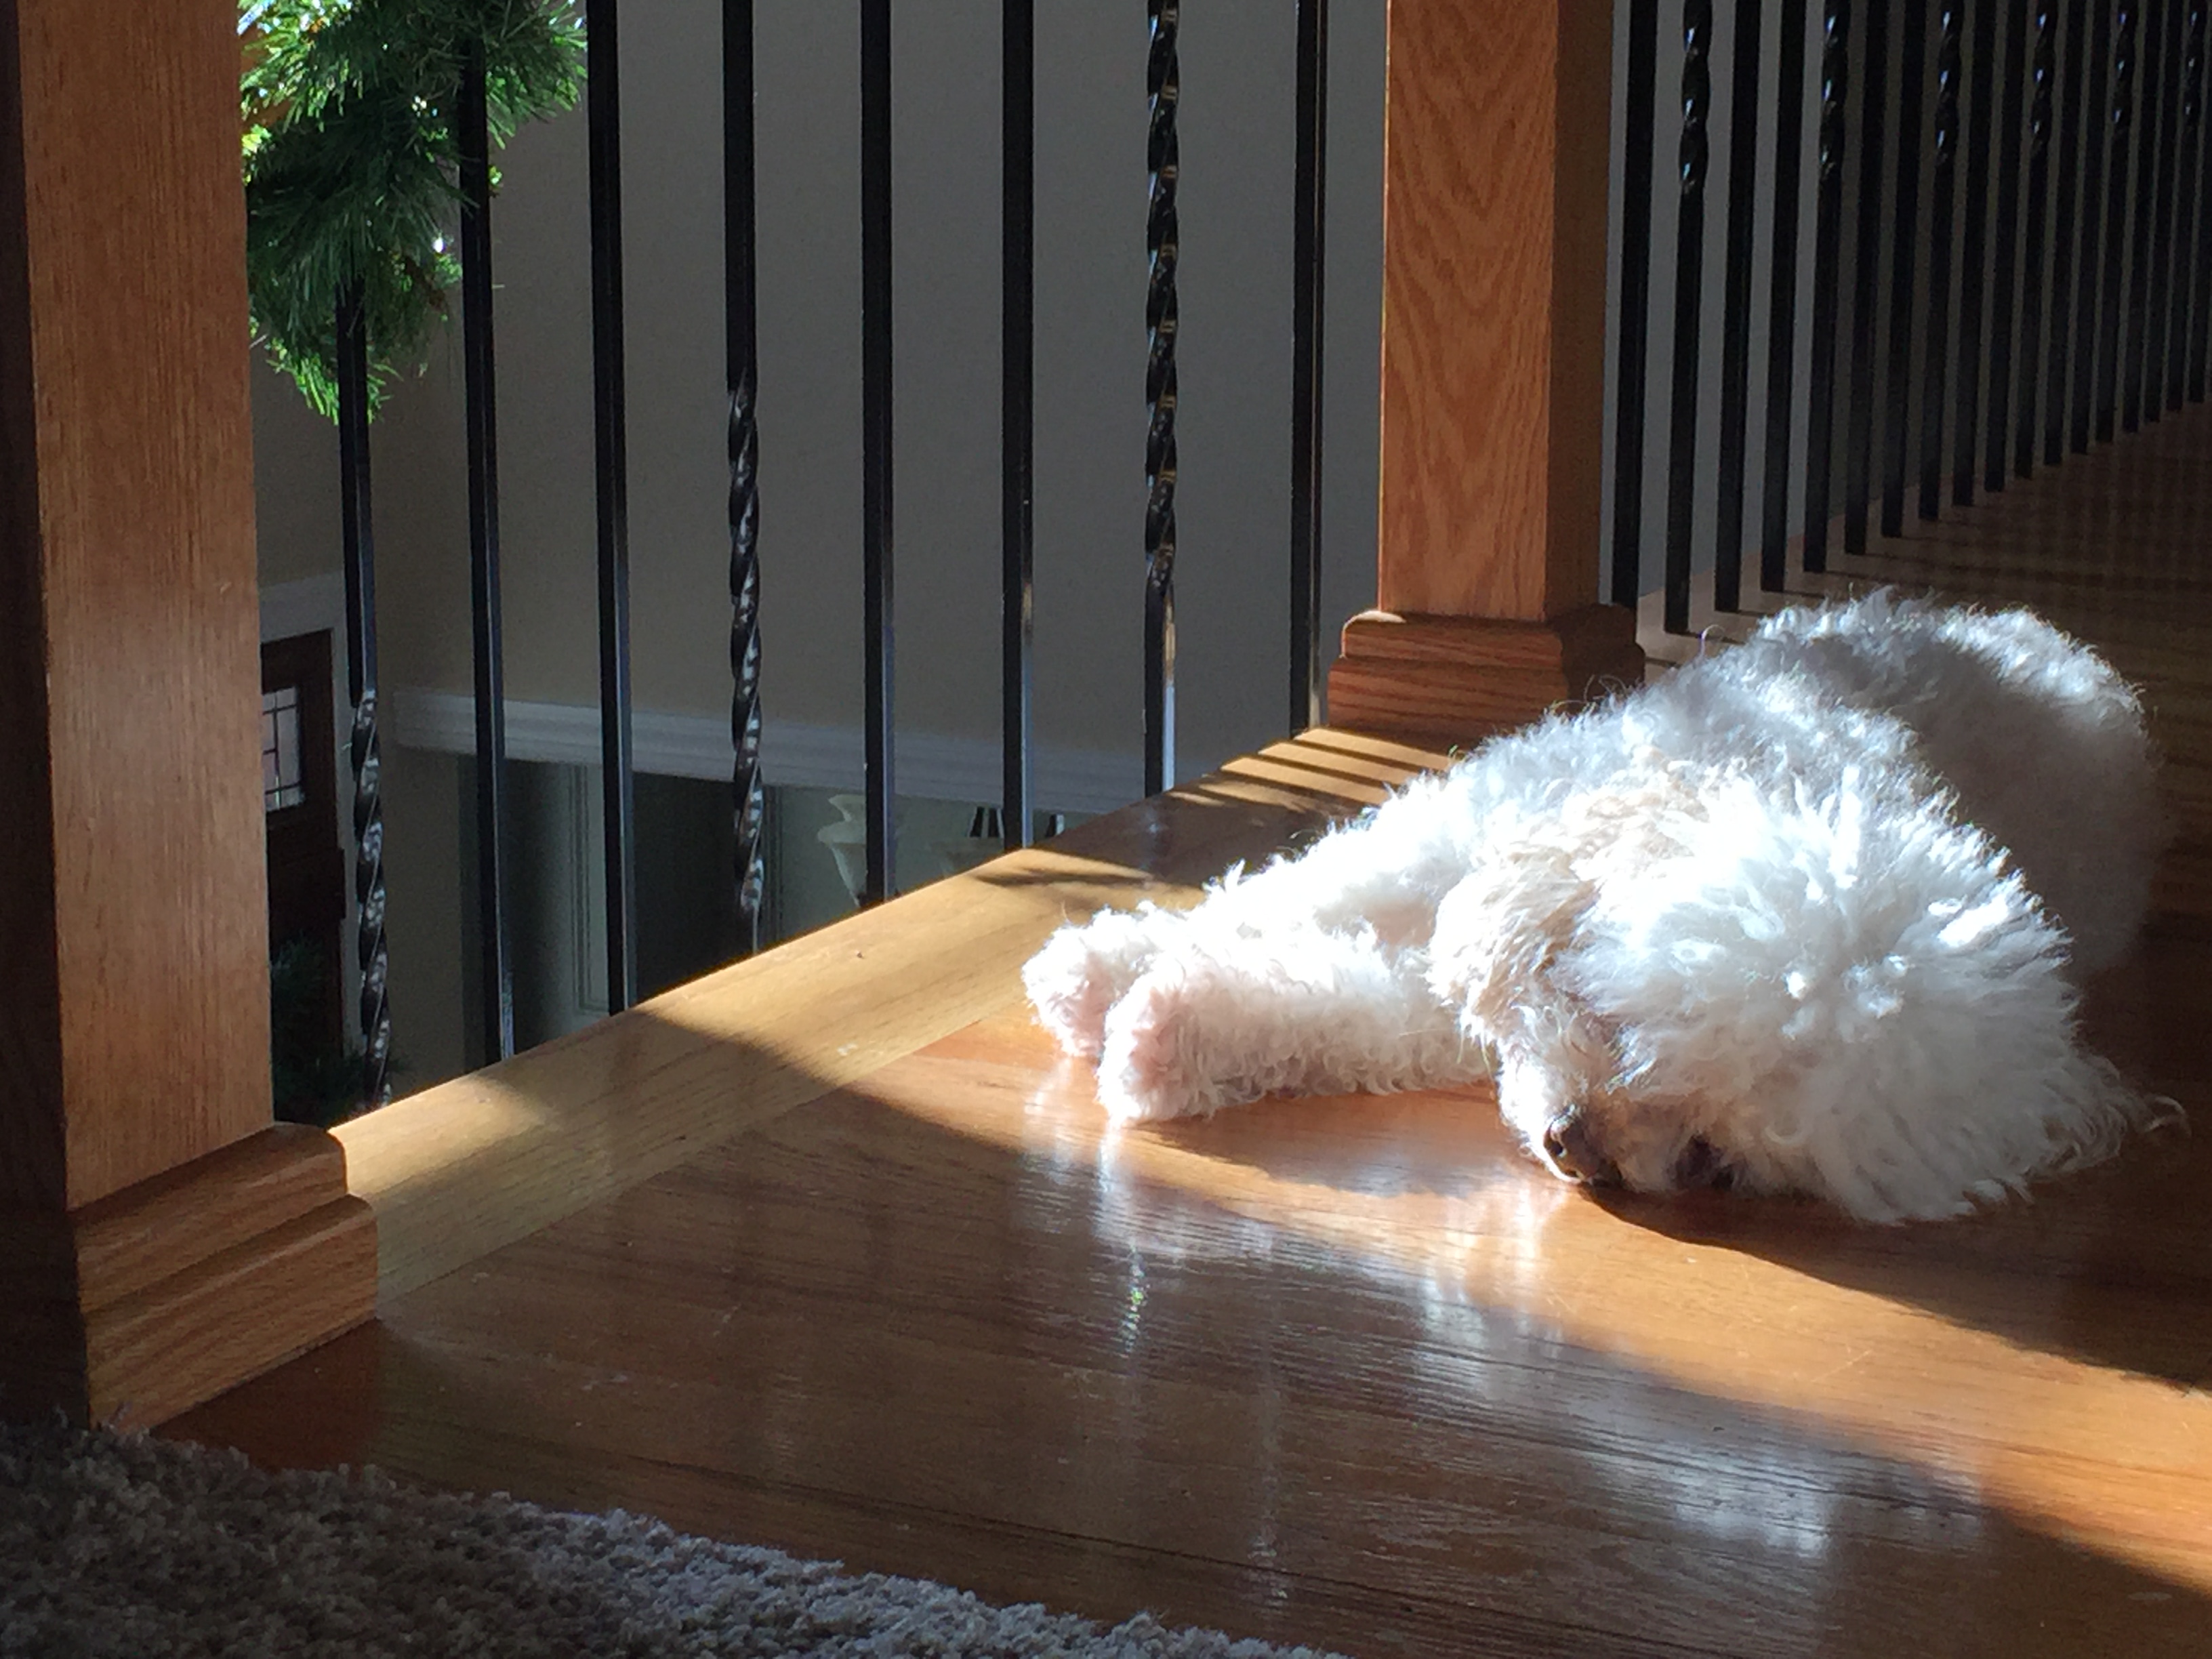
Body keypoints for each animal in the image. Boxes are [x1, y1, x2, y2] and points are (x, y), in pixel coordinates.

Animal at [1023, 592, 2167, 1222]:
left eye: (1713, 1163)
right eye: (1609, 1018)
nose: (1584, 1151)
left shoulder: (1456, 1000)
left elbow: (1357, 1014)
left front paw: (1162, 1034)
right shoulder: (1456, 838)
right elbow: (1291, 890)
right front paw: (1096, 972)